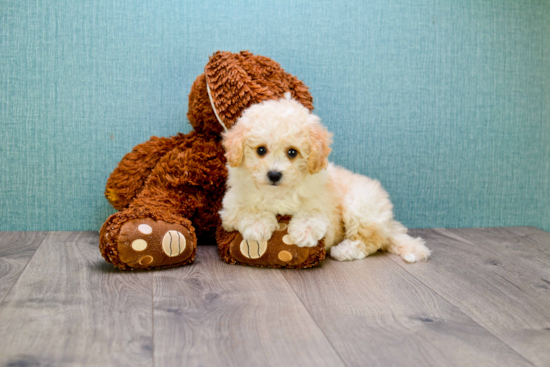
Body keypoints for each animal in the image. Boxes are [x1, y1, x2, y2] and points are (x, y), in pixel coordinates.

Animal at [220, 95, 432, 262]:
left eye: (292, 152)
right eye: (261, 150)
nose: (274, 174)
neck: (279, 192)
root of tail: (389, 223)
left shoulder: (327, 210)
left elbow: (313, 212)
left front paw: (304, 232)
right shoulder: (230, 206)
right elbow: (248, 208)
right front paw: (257, 226)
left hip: (361, 205)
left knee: (370, 240)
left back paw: (345, 250)